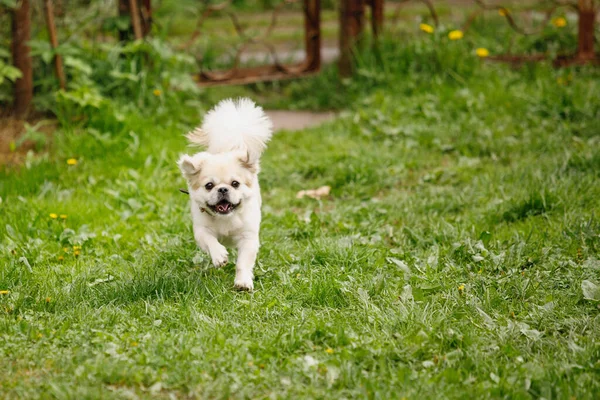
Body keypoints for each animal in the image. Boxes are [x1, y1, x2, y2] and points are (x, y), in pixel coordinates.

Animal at [177, 97, 274, 290]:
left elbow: (243, 262)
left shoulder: (248, 238)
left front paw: (243, 282)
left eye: (235, 184)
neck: (226, 218)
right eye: (209, 185)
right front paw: (219, 255)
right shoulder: (201, 230)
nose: (222, 189)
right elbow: (209, 240)